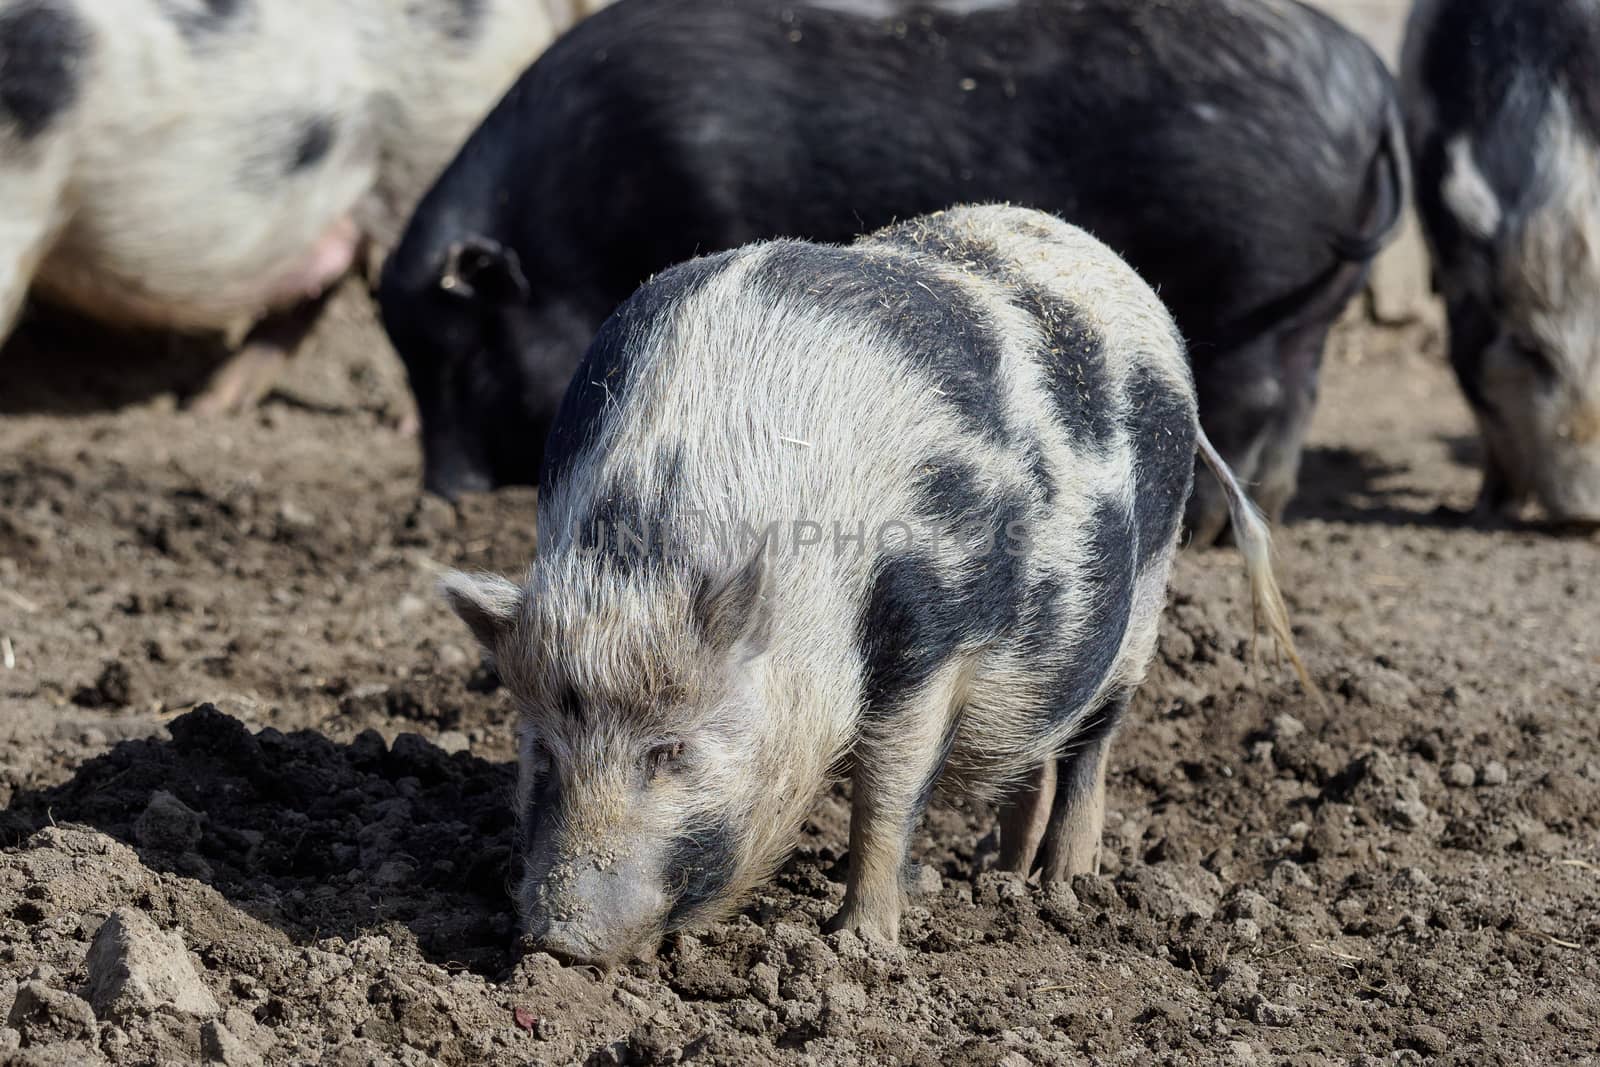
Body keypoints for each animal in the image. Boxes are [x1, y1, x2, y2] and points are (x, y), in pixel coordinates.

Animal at [380, 0, 1408, 537]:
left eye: (467, 355)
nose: (442, 494)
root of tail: (1371, 84)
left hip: (1257, 295)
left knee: (1255, 401)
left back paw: (1207, 531)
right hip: (1305, 311)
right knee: (1296, 400)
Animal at [438, 204, 1312, 966]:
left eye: (669, 748)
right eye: (542, 746)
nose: (558, 940)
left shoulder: (932, 636)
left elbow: (884, 796)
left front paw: (860, 945)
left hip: (1149, 588)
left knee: (1093, 743)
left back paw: (1067, 888)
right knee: (1032, 755)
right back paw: (1003, 880)